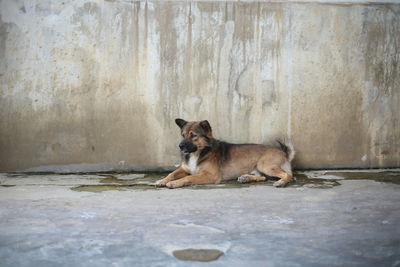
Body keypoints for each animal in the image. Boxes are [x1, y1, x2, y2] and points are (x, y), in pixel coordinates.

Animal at [155, 118, 296, 189]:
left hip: (265, 165)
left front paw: (174, 183)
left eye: (193, 136)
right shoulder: (184, 168)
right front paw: (162, 180)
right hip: (259, 168)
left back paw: (281, 182)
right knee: (263, 177)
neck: (200, 152)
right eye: (183, 135)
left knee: (289, 174)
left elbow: (189, 178)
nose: (180, 146)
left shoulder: (210, 176)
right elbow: (171, 174)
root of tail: (284, 152)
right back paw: (246, 178)